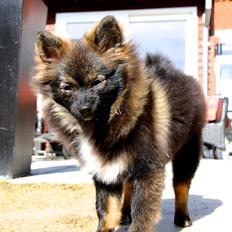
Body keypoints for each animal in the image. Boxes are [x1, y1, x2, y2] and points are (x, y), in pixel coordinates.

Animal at [31, 15, 206, 231]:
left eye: (98, 81)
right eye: (67, 87)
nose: (84, 108)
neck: (107, 123)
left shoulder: (147, 169)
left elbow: (142, 213)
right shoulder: (105, 169)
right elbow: (106, 210)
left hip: (187, 151)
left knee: (181, 185)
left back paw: (182, 217)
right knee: (128, 186)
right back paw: (125, 214)